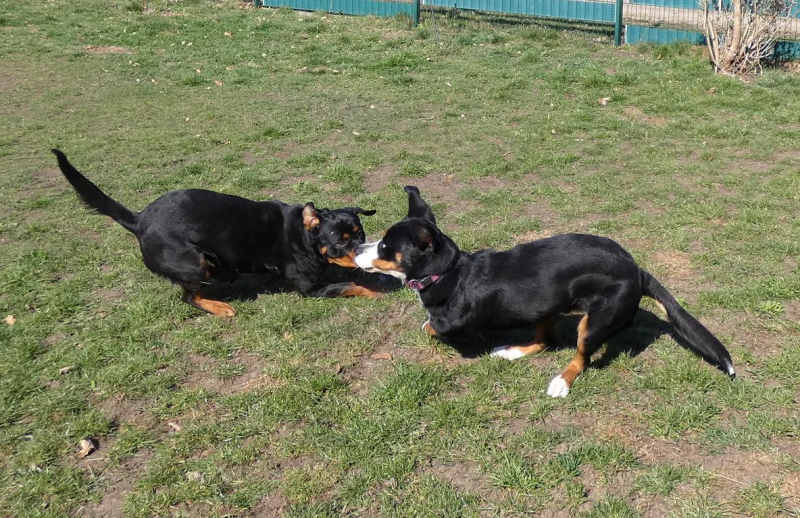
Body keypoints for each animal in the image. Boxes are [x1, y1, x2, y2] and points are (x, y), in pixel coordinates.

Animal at [52, 149, 382, 316]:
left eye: (360, 234)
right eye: (339, 242)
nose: (361, 250)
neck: (303, 238)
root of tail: (139, 219)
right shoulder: (311, 290)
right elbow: (350, 284)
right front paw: (374, 291)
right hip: (191, 263)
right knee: (188, 296)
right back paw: (219, 305)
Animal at [355, 186, 735, 398]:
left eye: (386, 247)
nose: (358, 246)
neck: (446, 273)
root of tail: (635, 268)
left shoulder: (453, 326)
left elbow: (432, 327)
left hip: (593, 323)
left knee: (580, 357)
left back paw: (561, 383)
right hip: (545, 307)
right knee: (544, 341)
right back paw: (513, 351)